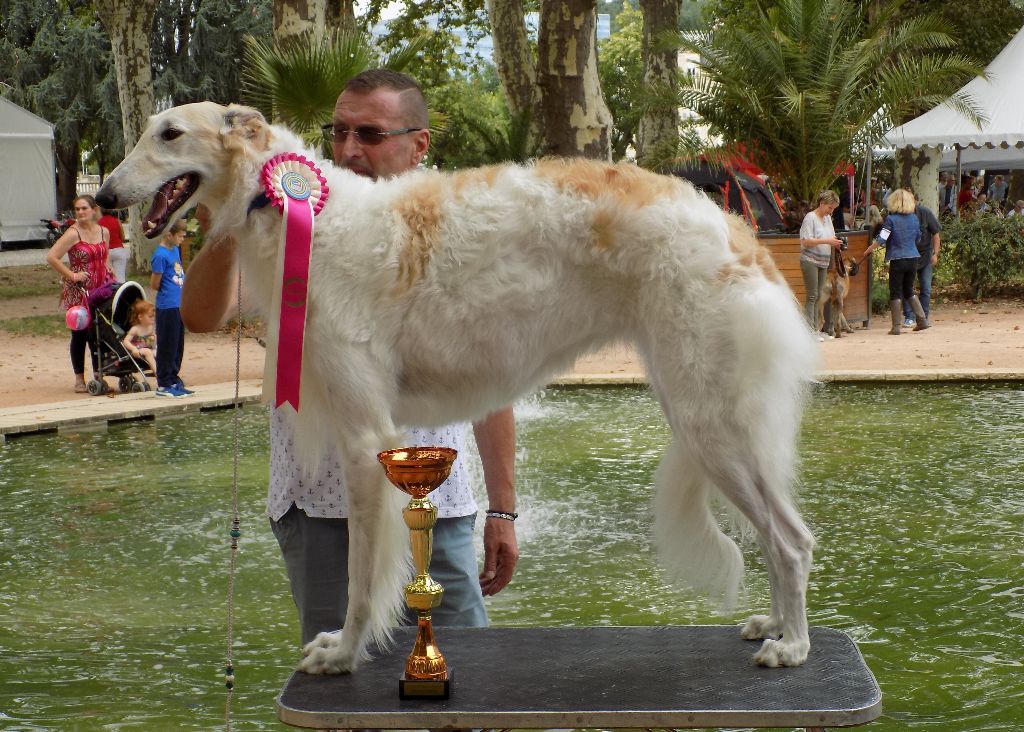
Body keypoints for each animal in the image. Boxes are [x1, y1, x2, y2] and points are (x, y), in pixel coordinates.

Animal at [96, 102, 815, 675]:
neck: (308, 215)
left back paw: (794, 645)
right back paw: (775, 624)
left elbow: (362, 578)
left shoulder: (365, 436)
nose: (103, 195)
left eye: (170, 133)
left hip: (711, 423)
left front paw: (345, 651)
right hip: (701, 411)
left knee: (791, 541)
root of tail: (737, 231)